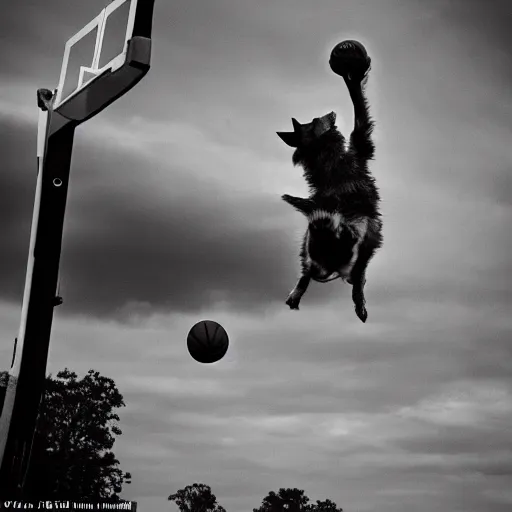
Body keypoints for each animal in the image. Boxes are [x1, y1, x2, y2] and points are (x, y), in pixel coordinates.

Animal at [278, 45, 382, 324]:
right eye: (317, 120)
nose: (330, 112)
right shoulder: (361, 146)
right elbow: (359, 110)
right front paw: (352, 78)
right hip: (358, 243)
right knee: (356, 277)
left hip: (312, 247)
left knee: (308, 270)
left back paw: (296, 295)